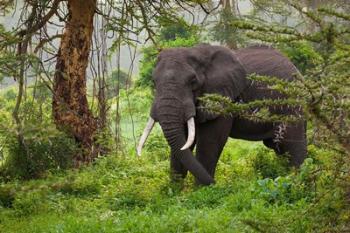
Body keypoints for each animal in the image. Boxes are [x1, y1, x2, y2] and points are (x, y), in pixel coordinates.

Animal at [137, 43, 306, 186]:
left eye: (193, 81)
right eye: (154, 81)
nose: (216, 184)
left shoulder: (222, 97)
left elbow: (210, 140)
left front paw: (201, 191)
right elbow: (182, 140)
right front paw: (175, 191)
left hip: (291, 104)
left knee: (293, 145)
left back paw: (298, 180)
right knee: (279, 148)